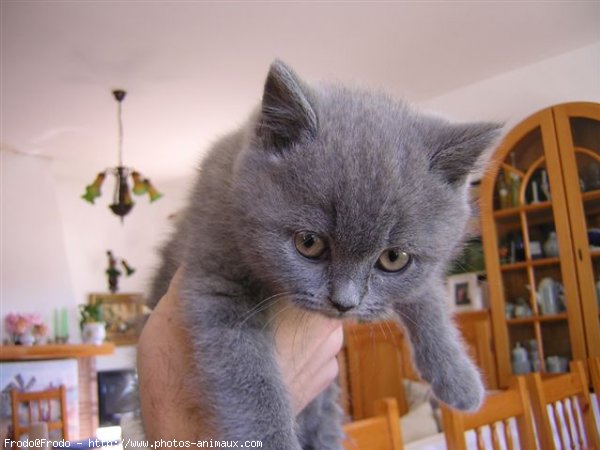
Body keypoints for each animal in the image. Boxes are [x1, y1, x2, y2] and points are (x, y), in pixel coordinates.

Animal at [149, 60, 502, 450]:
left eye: (394, 258)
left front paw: (460, 378)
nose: (344, 303)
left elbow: (427, 297)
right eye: (309, 243)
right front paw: (272, 441)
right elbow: (250, 378)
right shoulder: (217, 275)